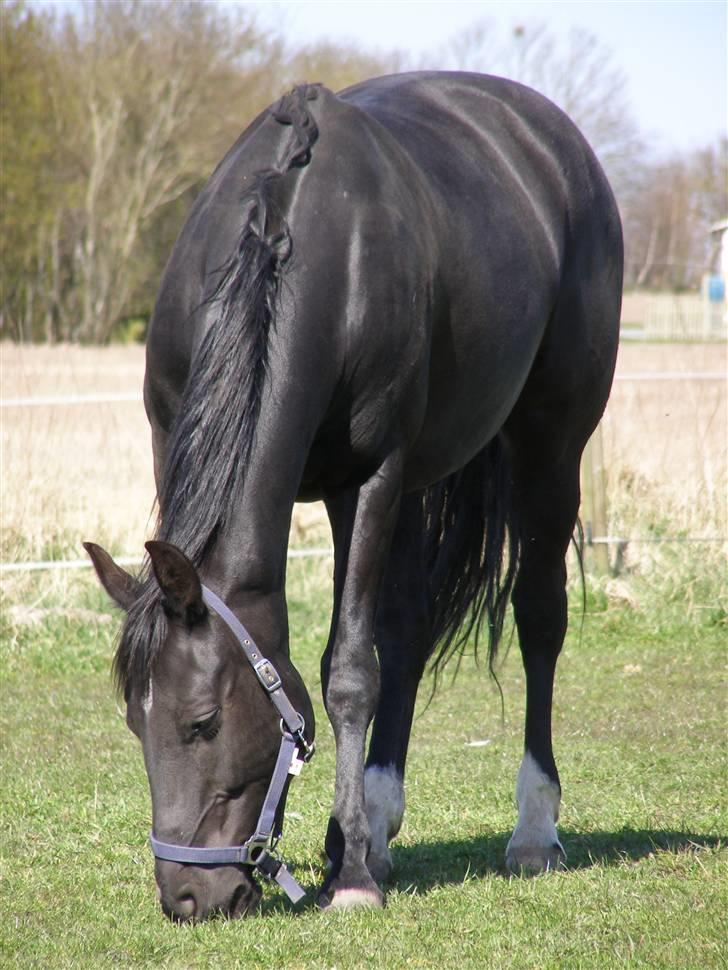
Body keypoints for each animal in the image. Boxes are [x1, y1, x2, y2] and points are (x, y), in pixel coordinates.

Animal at [85, 72, 620, 920]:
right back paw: (376, 819)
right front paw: (354, 845)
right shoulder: (173, 442)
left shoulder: (367, 480)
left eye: (203, 722)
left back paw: (532, 829)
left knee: (539, 618)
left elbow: (347, 672)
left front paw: (358, 876)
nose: (188, 899)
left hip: (550, 447)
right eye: (137, 721)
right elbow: (375, 648)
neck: (299, 247)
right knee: (407, 630)